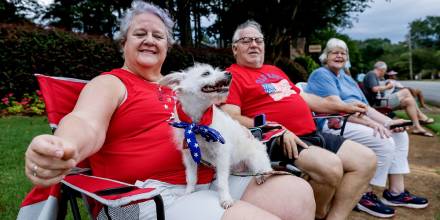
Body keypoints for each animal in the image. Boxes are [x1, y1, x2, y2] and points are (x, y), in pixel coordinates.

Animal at [160, 63, 274, 208]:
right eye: (206, 73)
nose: (229, 73)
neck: (198, 124)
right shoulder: (189, 157)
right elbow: (191, 178)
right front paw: (188, 192)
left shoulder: (222, 156)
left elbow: (222, 182)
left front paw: (225, 199)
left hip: (255, 160)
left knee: (264, 169)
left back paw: (261, 176)